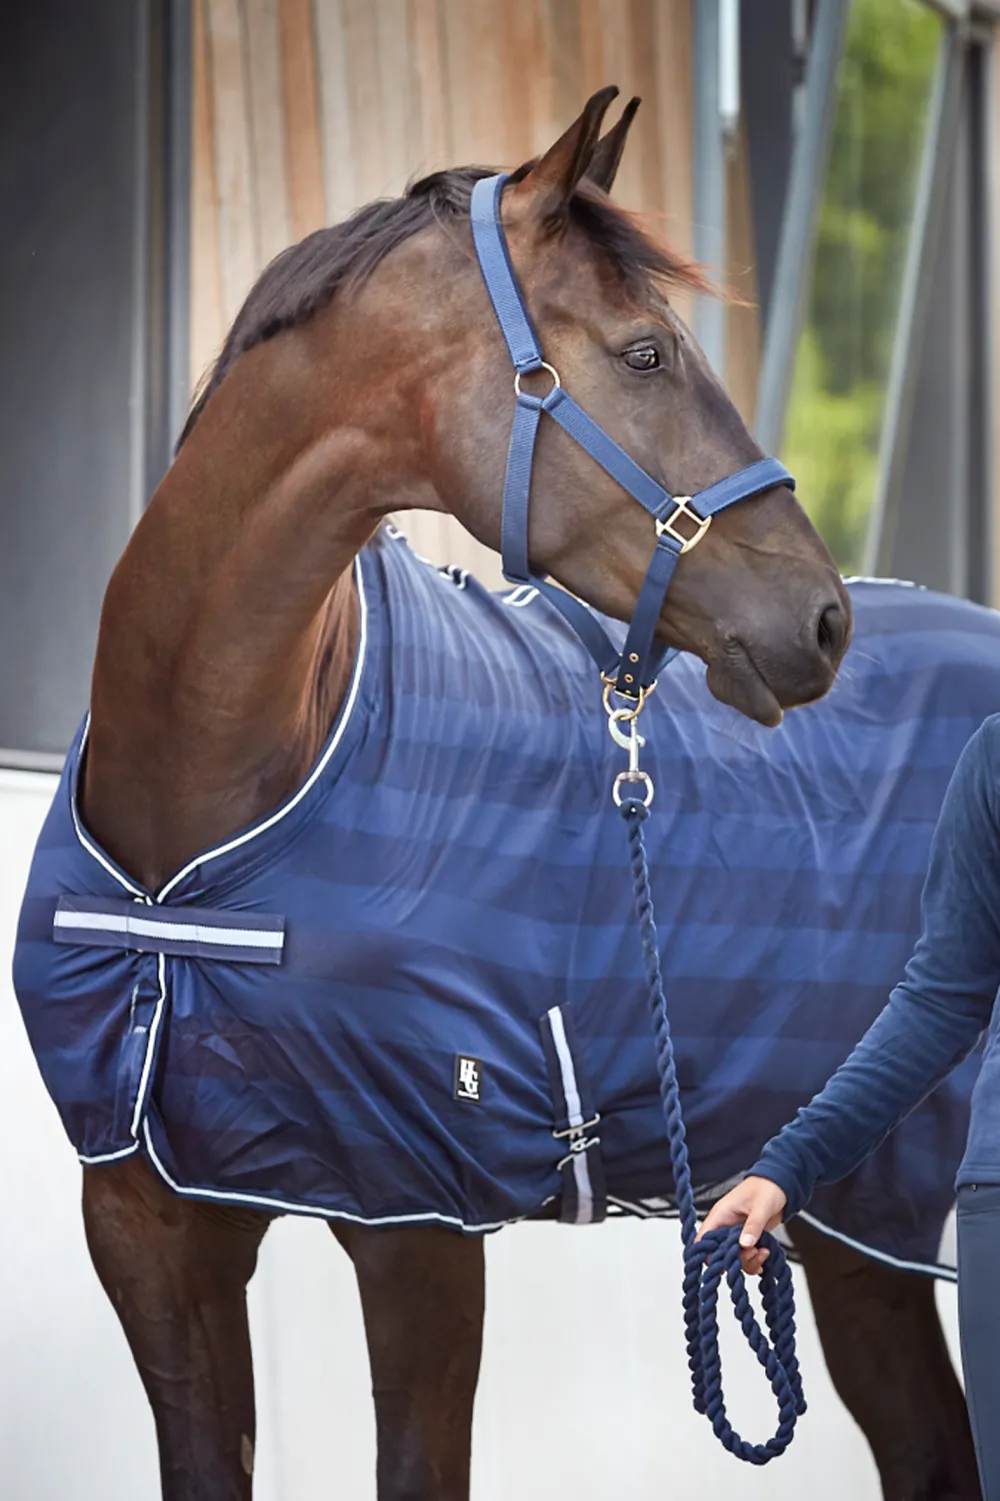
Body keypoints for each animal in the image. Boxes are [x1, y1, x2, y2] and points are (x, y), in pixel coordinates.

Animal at [13, 86, 985, 1500]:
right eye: (645, 353)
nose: (821, 619)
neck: (201, 829)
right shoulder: (148, 1230)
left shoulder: (416, 1226)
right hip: (855, 1233)